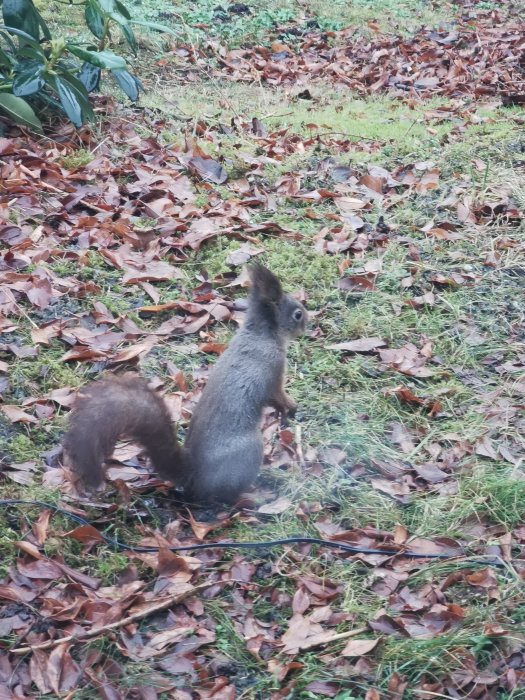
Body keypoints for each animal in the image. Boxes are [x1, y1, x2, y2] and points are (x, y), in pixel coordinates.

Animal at [61, 264, 308, 504]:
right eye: (297, 314)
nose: (309, 322)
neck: (261, 334)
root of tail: (195, 476)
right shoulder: (273, 368)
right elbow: (277, 394)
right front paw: (291, 407)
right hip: (249, 450)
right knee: (226, 498)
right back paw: (255, 496)